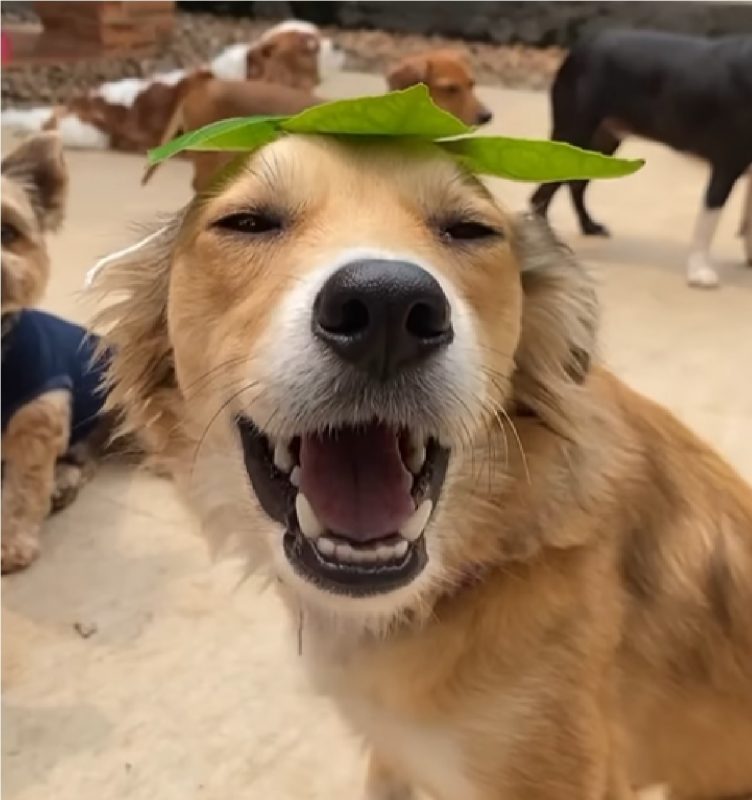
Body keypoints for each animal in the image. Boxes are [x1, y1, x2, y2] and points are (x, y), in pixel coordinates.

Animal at [528, 32, 752, 292]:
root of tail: (581, 47)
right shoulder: (727, 165)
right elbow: (708, 223)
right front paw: (700, 272)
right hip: (574, 132)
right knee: (542, 193)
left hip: (602, 140)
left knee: (576, 184)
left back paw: (589, 226)